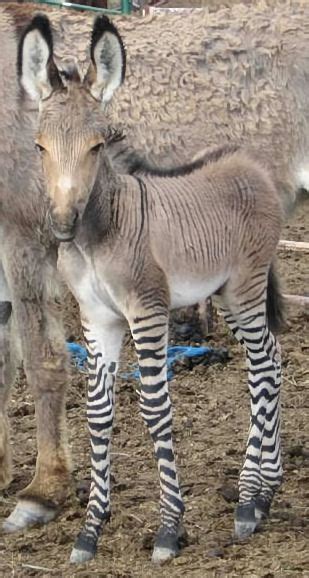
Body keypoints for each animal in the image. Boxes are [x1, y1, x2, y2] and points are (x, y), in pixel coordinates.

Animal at [16, 16, 282, 564]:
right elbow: (99, 414)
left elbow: (155, 408)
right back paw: (264, 491)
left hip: (245, 288)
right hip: (225, 293)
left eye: (97, 146)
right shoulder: (97, 319)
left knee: (263, 369)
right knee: (273, 356)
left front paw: (168, 530)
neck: (100, 233)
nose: (62, 225)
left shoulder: (148, 310)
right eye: (40, 146)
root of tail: (248, 161)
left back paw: (251, 502)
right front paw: (90, 531)